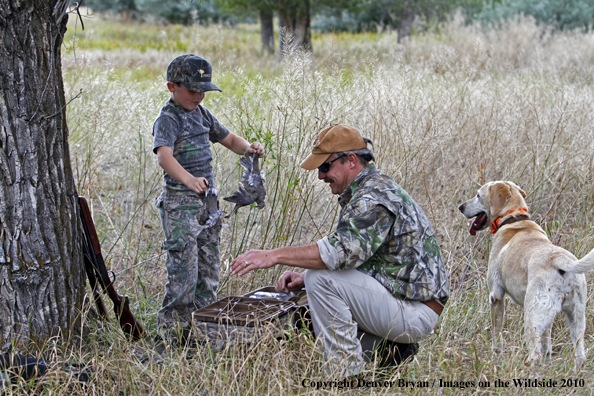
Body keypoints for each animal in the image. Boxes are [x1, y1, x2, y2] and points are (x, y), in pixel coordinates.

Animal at [458, 181, 592, 370]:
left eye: (478, 195)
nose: (460, 207)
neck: (514, 219)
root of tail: (560, 259)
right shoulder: (549, 319)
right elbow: (547, 344)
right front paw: (547, 364)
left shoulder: (496, 296)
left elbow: (496, 333)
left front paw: (495, 356)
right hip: (576, 318)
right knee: (580, 356)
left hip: (532, 317)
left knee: (534, 353)